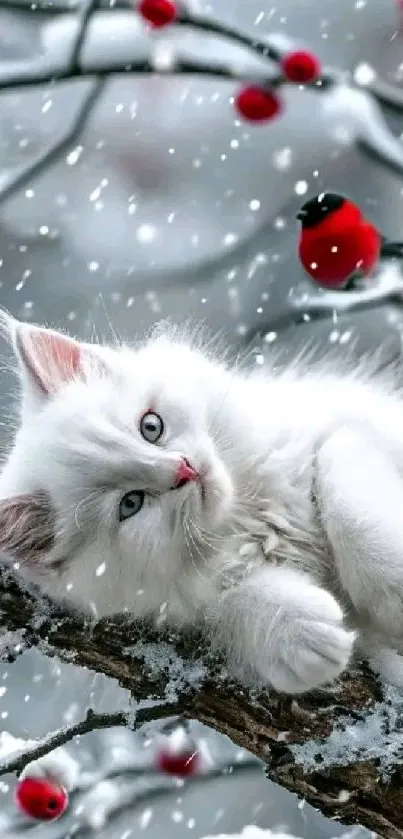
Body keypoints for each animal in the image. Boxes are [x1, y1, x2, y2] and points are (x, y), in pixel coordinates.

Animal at [2, 316, 403, 696]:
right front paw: (300, 632)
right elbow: (233, 605)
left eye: (150, 427)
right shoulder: (191, 608)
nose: (185, 470)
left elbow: (351, 506)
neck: (243, 514)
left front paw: (394, 590)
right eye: (130, 504)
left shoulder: (339, 430)